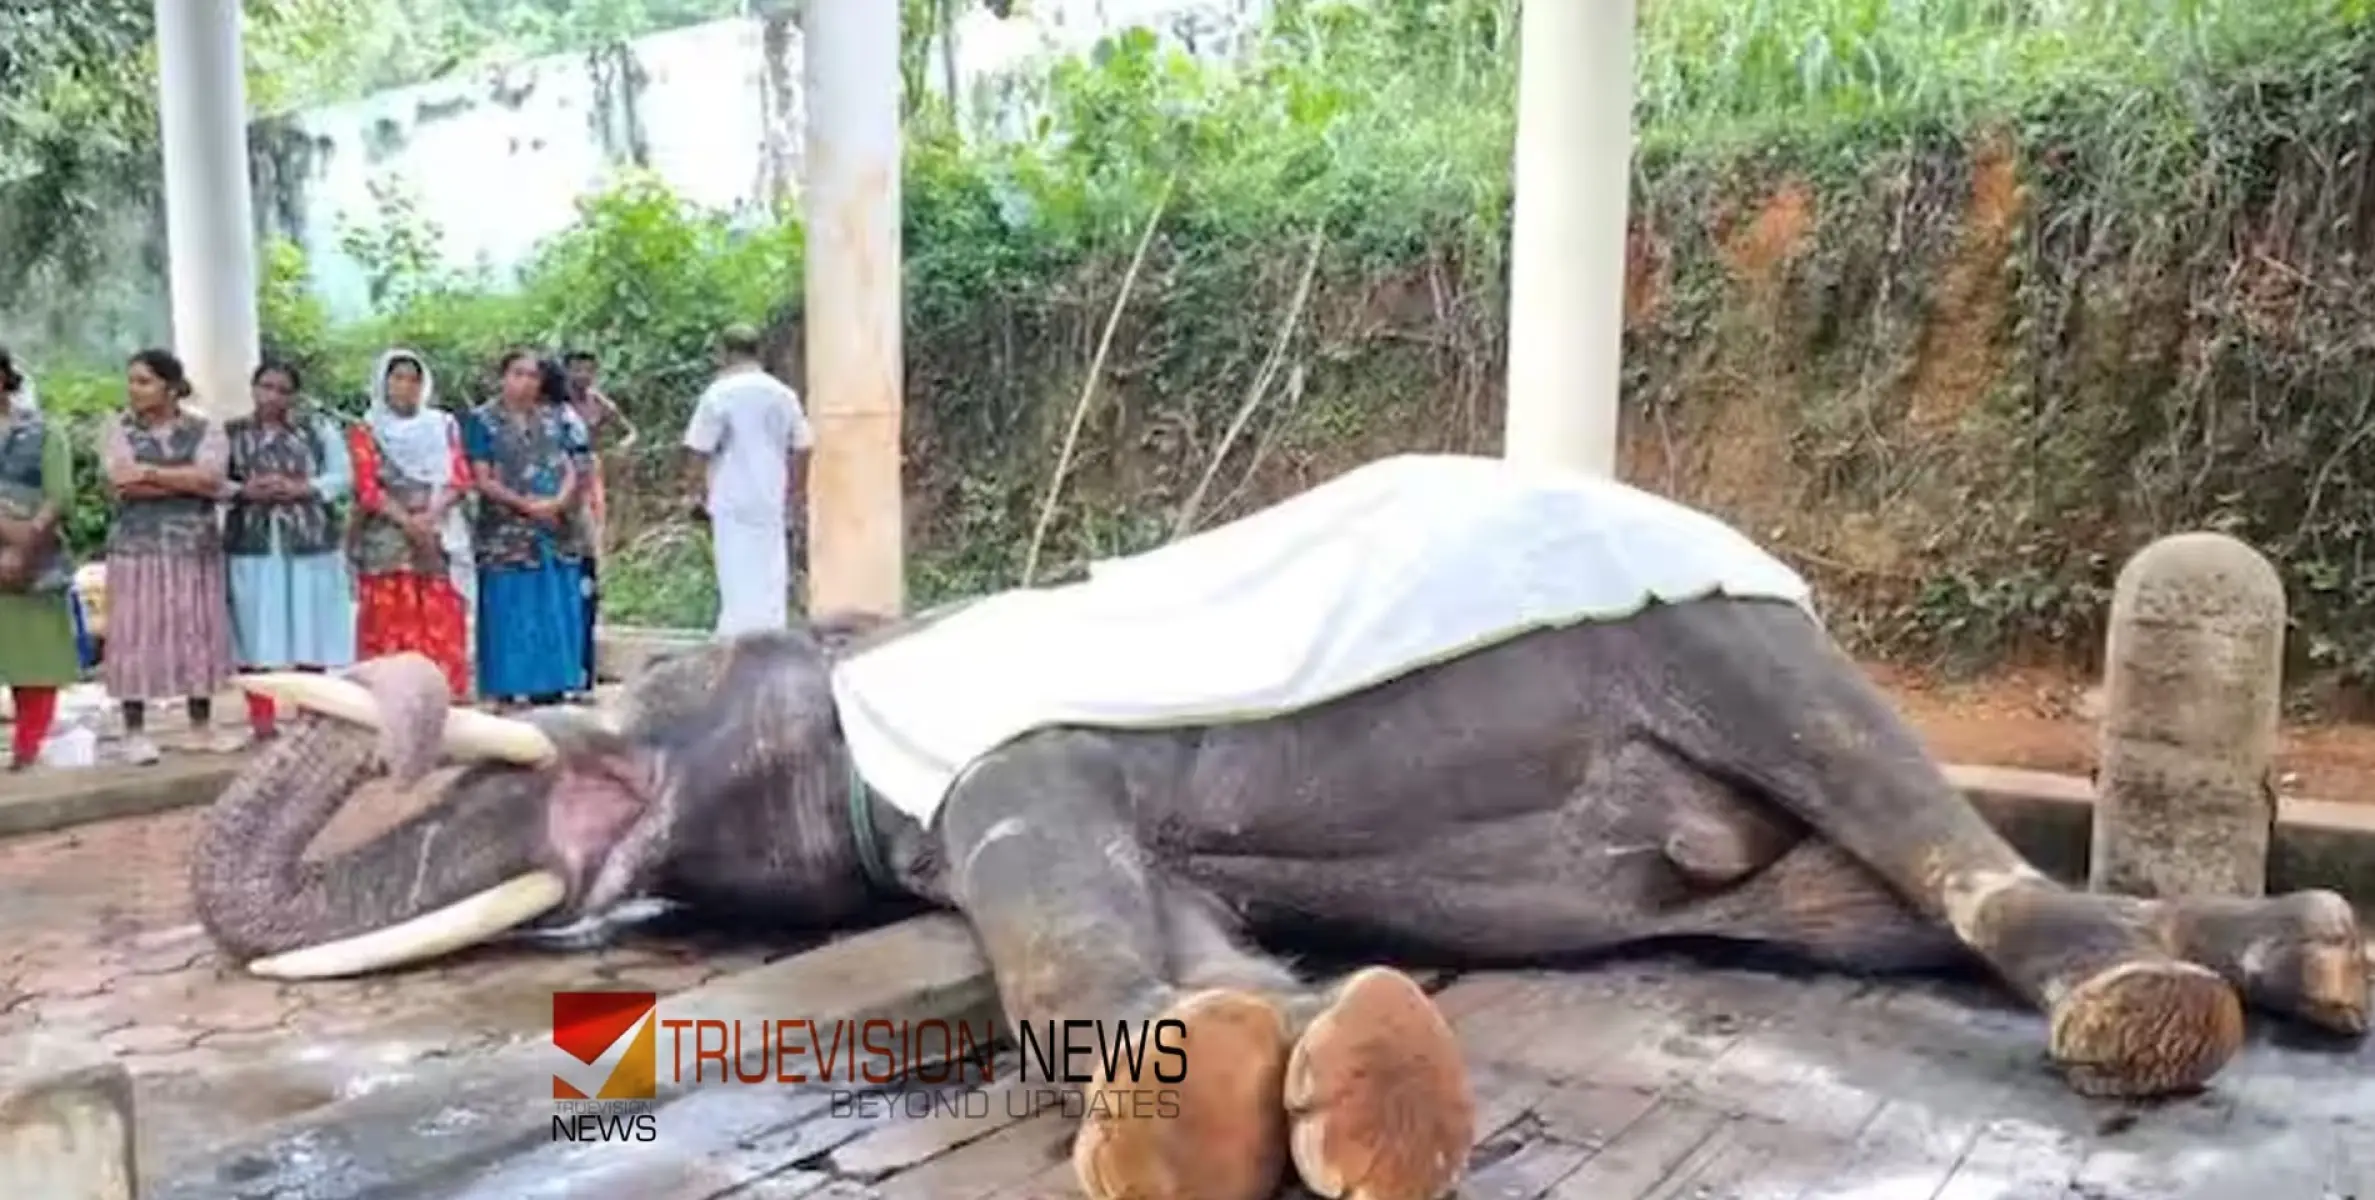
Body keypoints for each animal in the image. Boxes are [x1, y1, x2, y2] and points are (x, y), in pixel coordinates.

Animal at [194, 451, 2365, 1197]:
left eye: (639, 705)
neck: (877, 649)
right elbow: (1175, 921)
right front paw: (1322, 1061)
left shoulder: (1000, 754)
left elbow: (1053, 881)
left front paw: (1241, 1105)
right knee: (1834, 907)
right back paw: (2306, 965)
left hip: (1703, 621)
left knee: (1908, 826)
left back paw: (2144, 1015)